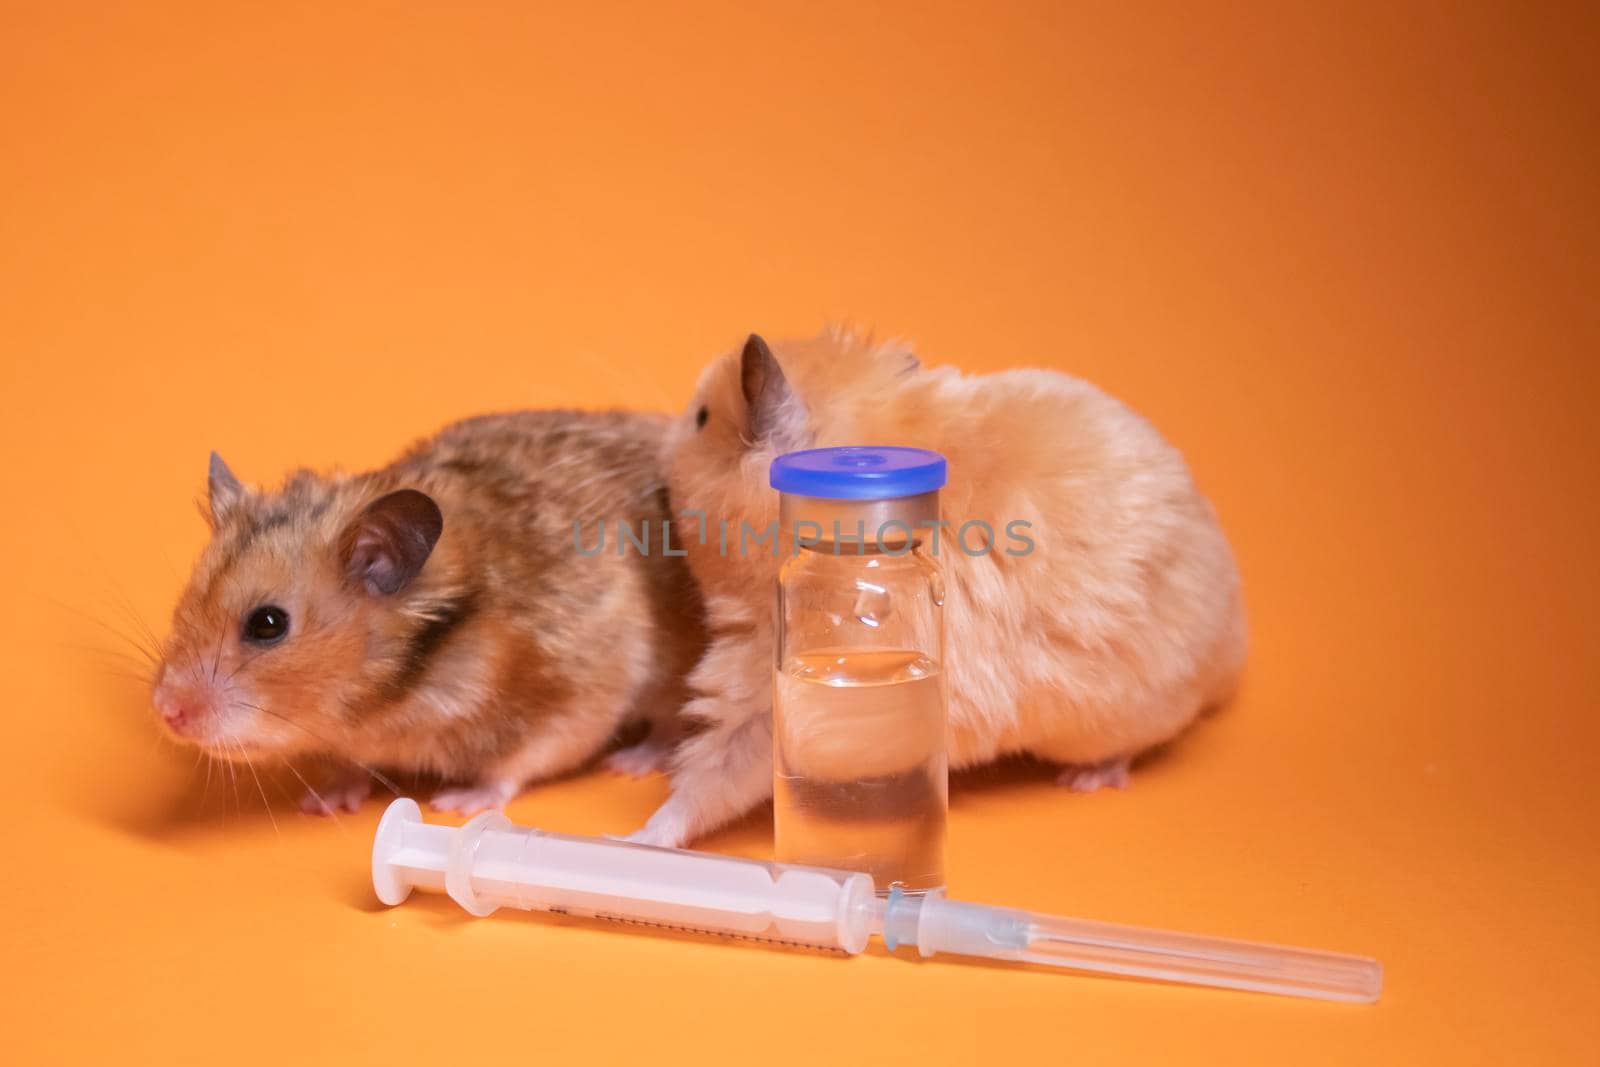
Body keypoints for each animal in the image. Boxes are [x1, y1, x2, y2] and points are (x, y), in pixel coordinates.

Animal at [152, 412, 704, 812]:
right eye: (185, 601)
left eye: (267, 624)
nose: (164, 711)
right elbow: (352, 766)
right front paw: (324, 802)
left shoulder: (569, 700)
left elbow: (513, 767)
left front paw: (454, 804)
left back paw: (631, 761)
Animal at [630, 329, 1241, 844]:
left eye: (701, 417)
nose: (658, 448)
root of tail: (1233, 650)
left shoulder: (772, 685)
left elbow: (712, 775)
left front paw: (638, 839)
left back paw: (1085, 779)